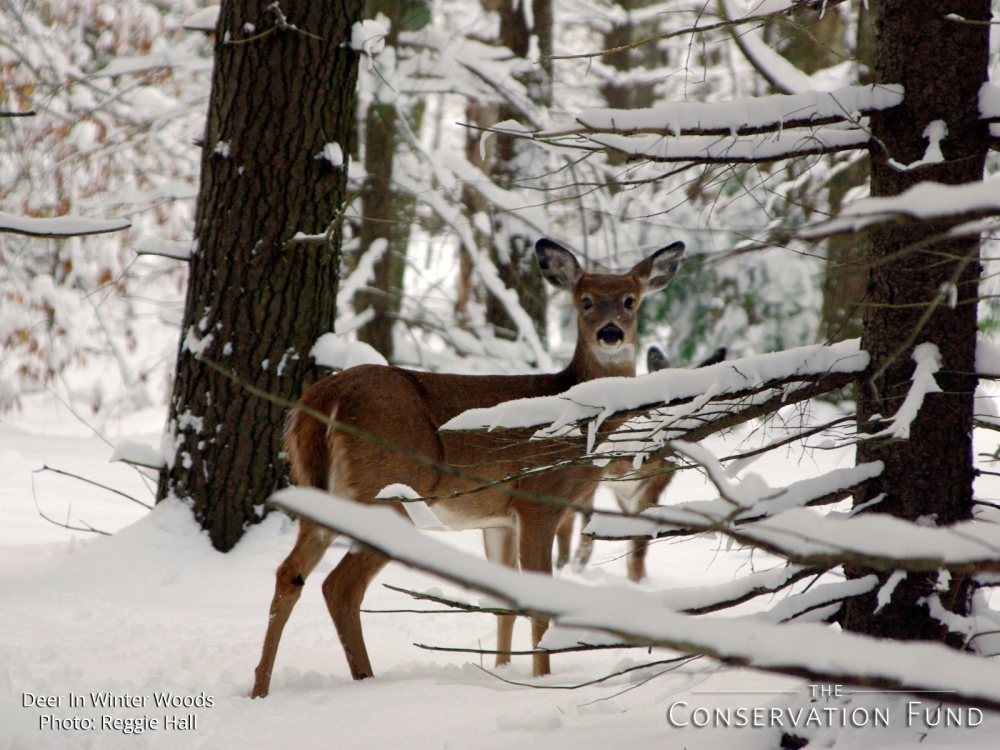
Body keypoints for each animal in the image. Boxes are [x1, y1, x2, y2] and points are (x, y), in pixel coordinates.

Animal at [254, 239, 684, 700]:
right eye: (584, 301)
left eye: (630, 301)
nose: (611, 333)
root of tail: (322, 400)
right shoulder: (537, 500)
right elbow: (539, 601)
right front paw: (542, 681)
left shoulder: (498, 518)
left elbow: (505, 602)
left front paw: (503, 671)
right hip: (388, 493)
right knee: (339, 586)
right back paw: (365, 679)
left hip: (321, 491)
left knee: (289, 573)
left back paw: (259, 688)